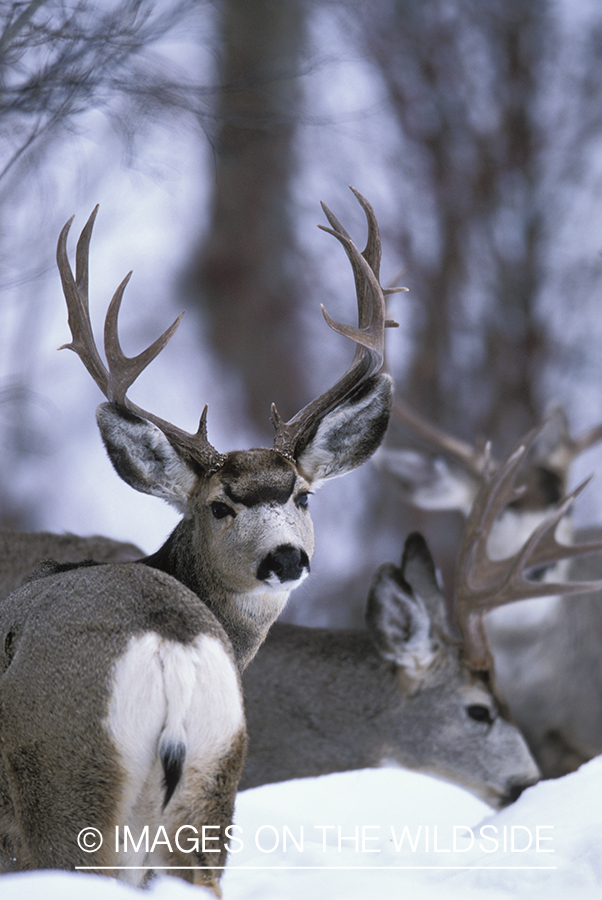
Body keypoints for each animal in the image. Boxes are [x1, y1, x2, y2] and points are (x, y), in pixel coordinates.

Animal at [0, 186, 396, 888]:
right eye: (219, 506)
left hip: (69, 787)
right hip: (209, 791)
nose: (287, 557)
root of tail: (171, 648)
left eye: (302, 495)